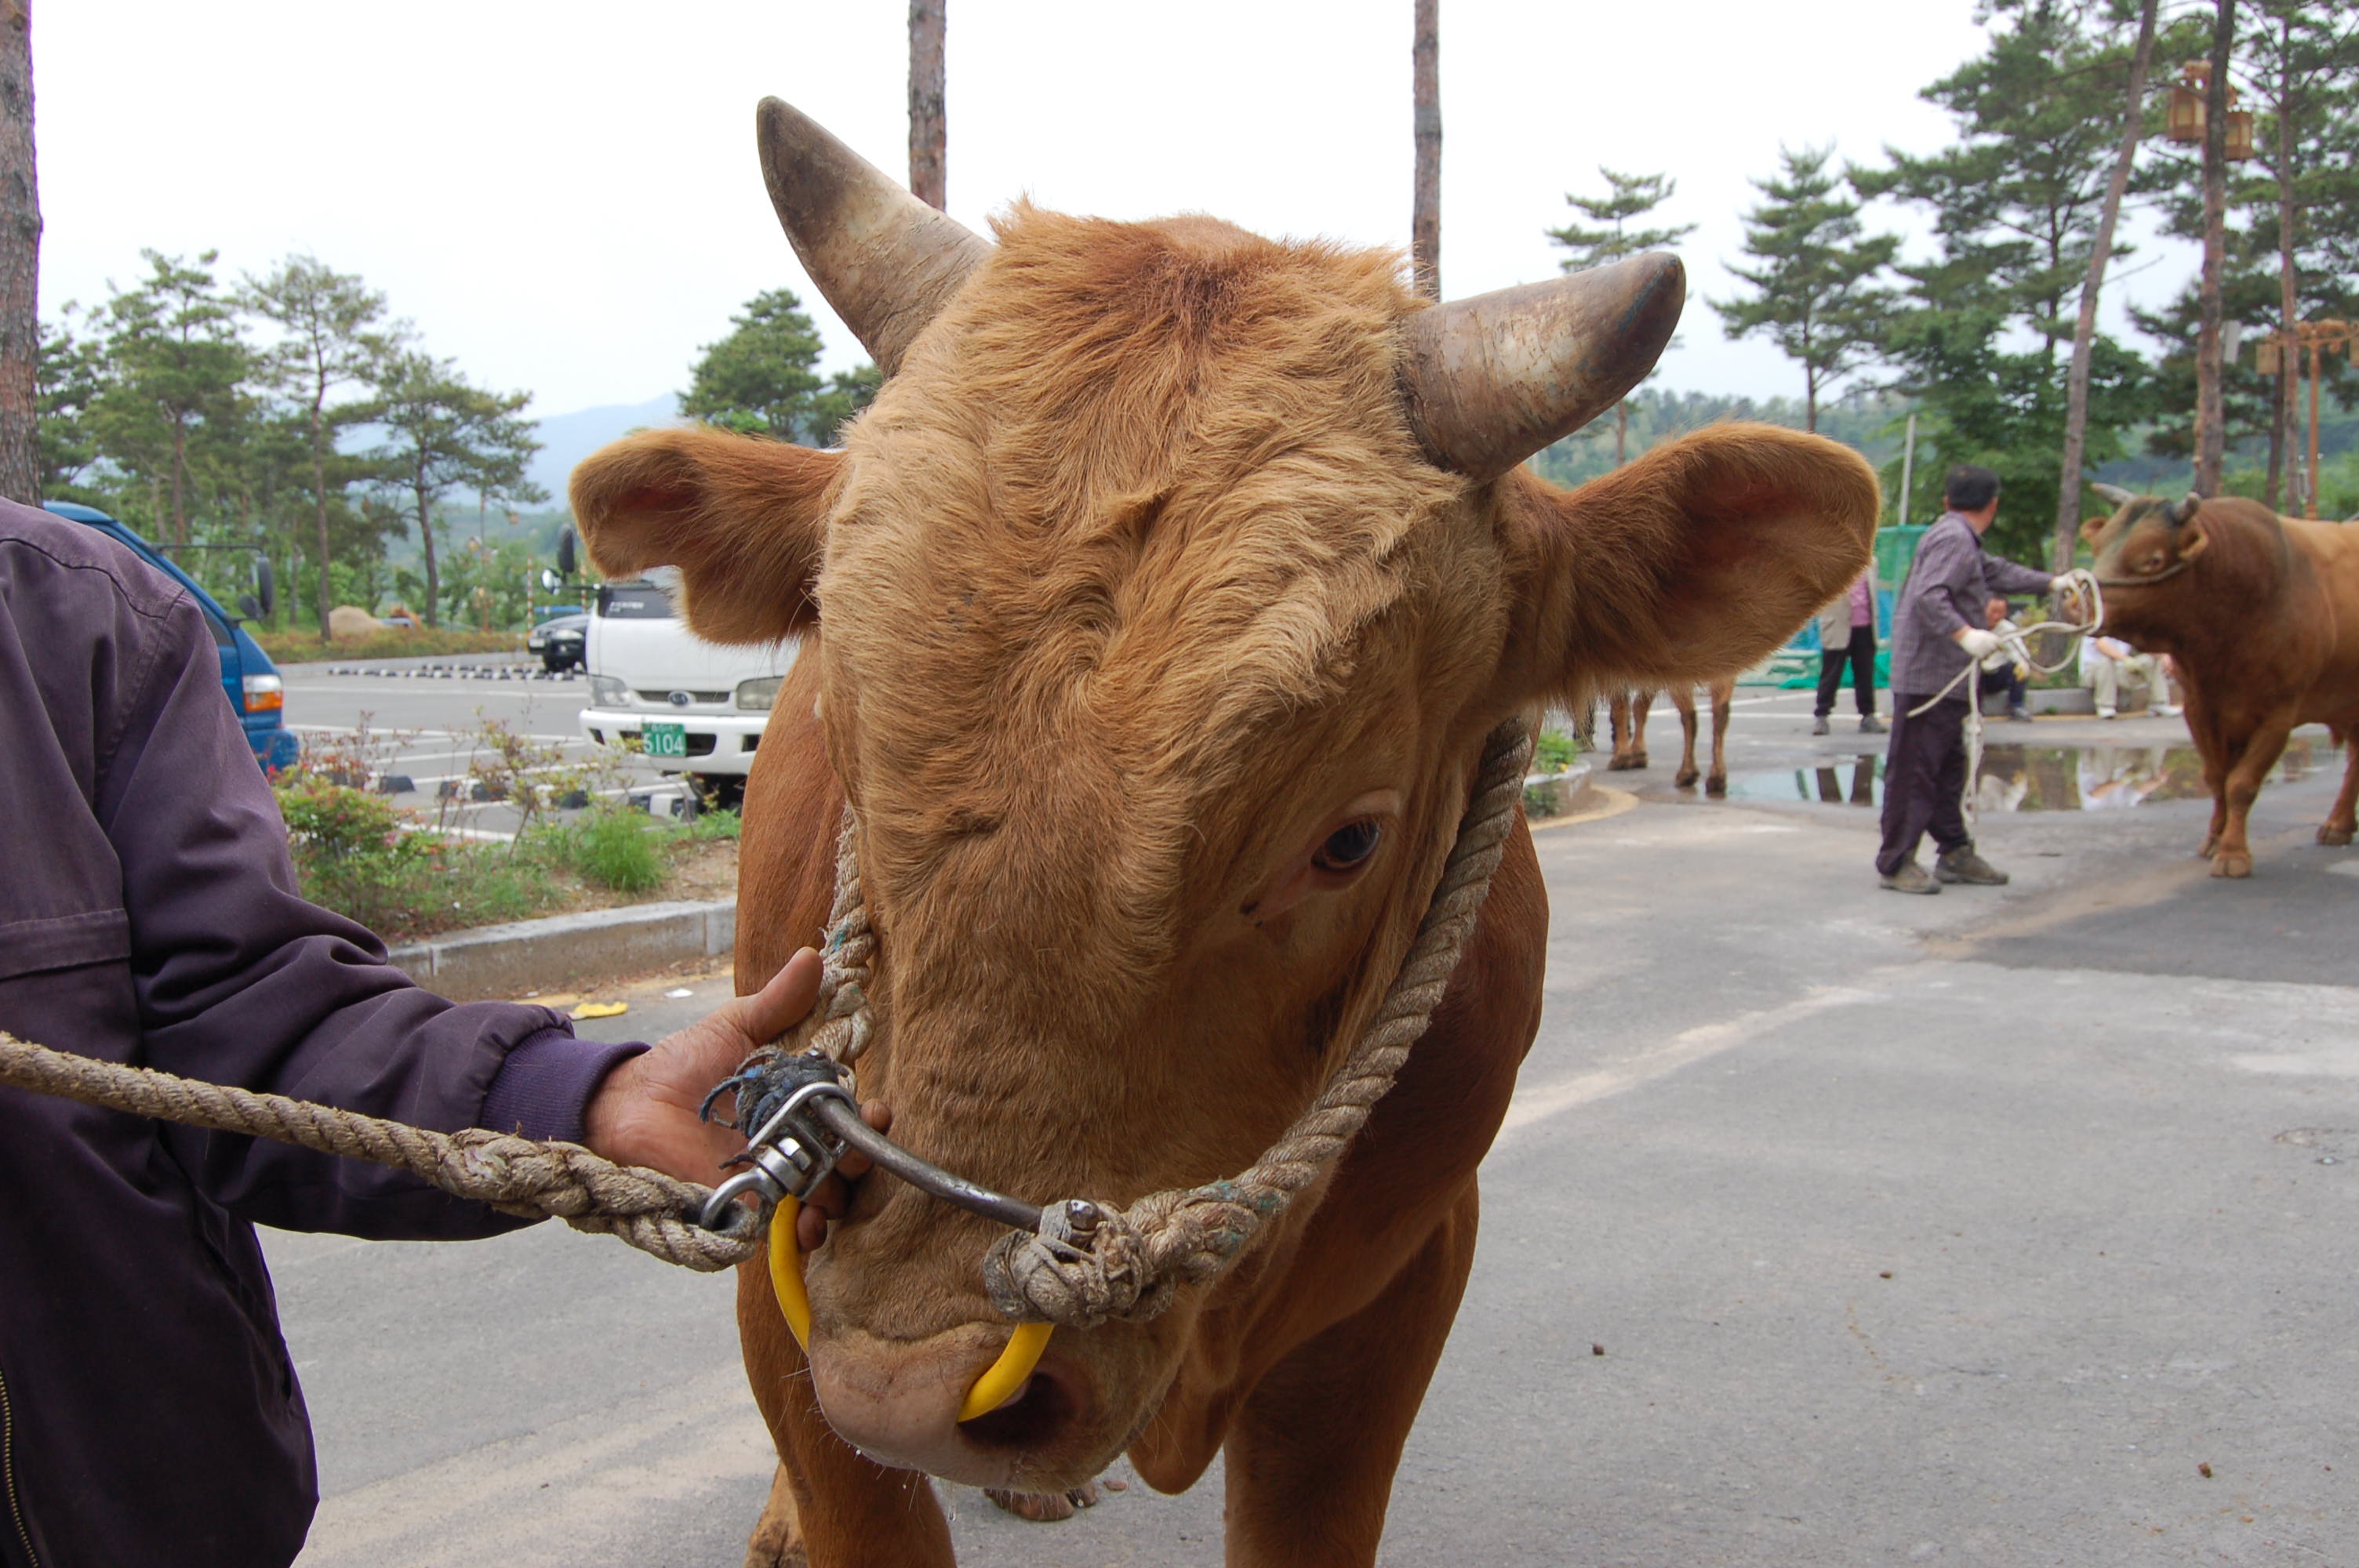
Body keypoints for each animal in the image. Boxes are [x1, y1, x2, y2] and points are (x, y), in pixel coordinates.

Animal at [2095, 485, 2349, 872]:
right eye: (2098, 548)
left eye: (2152, 560)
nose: (2073, 600)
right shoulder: (2200, 709)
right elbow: (2217, 778)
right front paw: (2214, 840)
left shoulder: (2278, 715)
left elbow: (2241, 784)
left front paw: (2233, 854)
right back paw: (2339, 825)